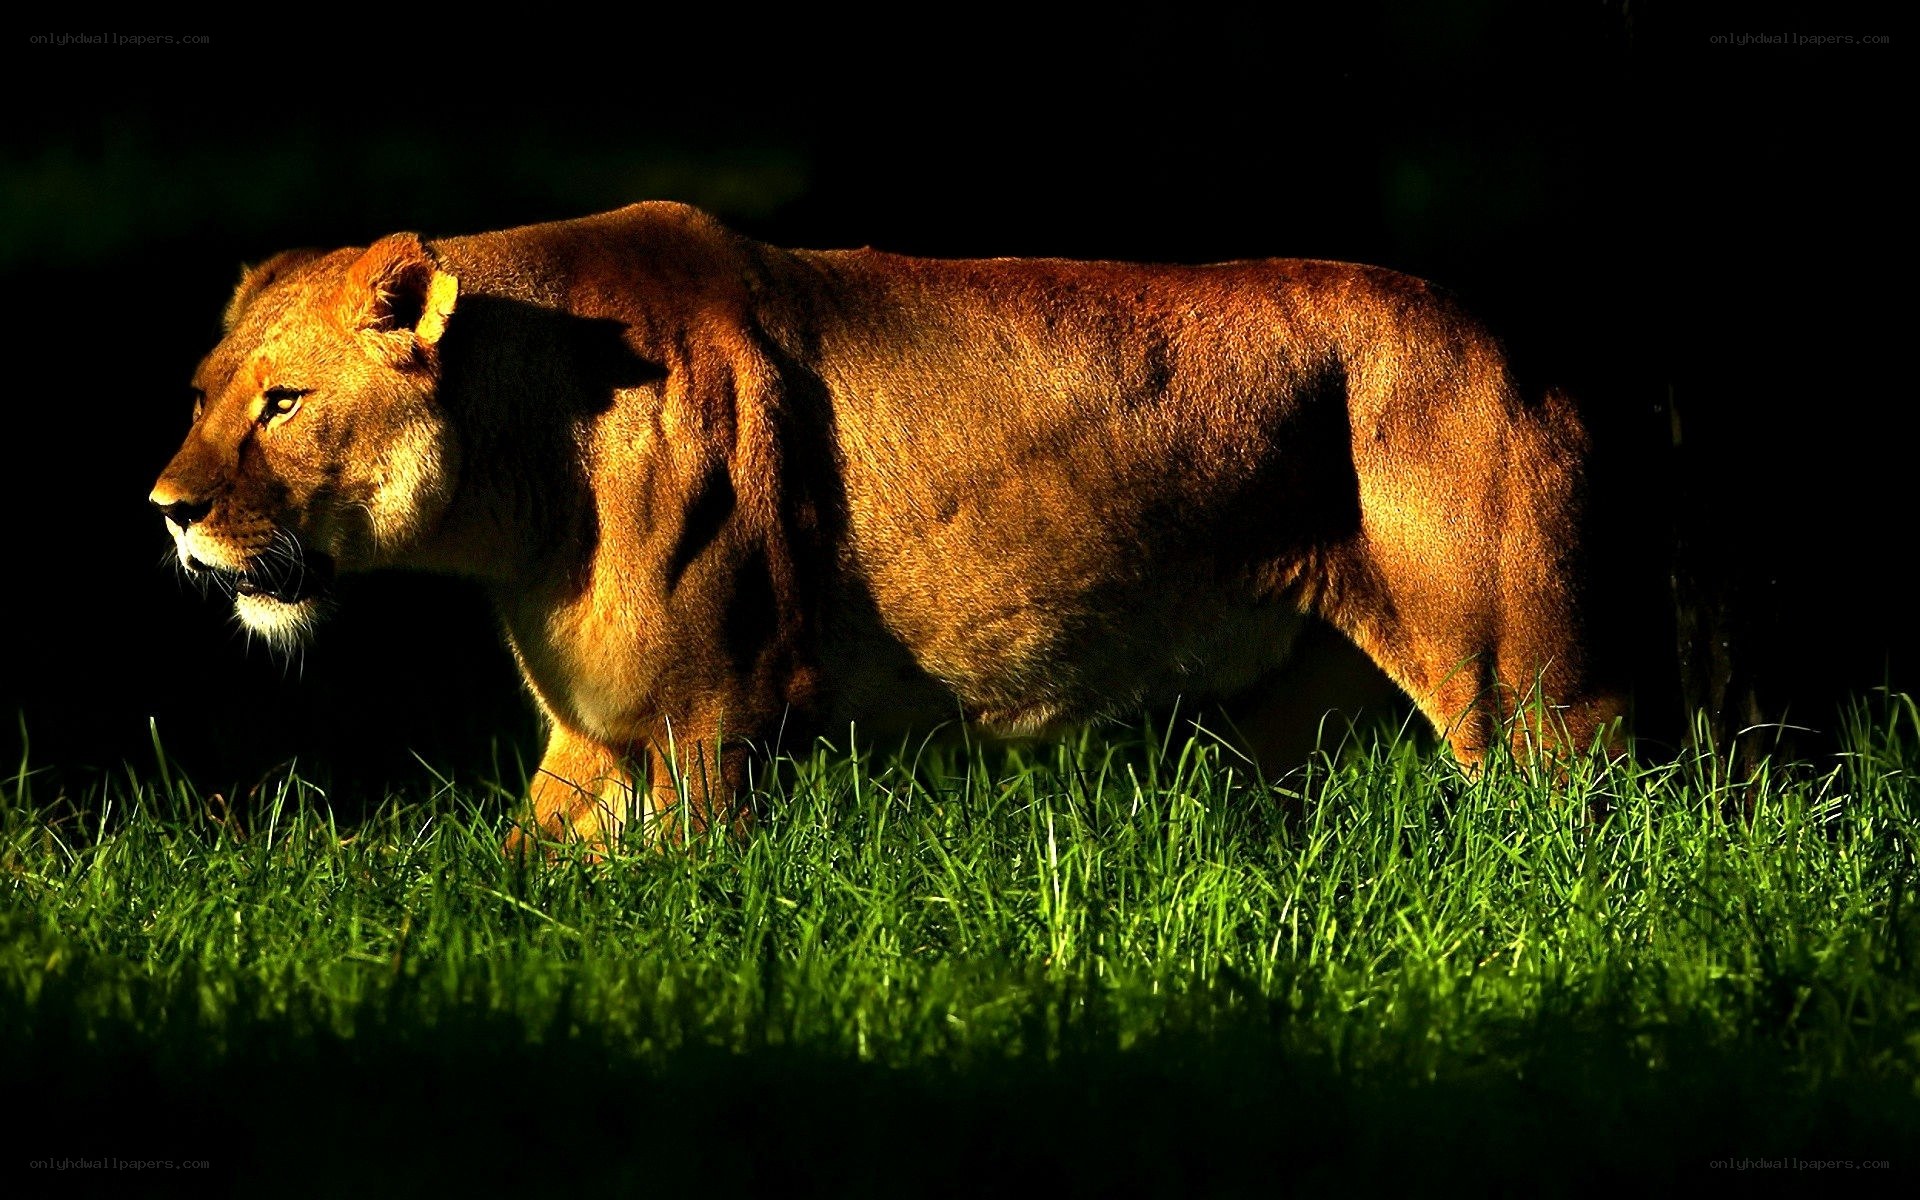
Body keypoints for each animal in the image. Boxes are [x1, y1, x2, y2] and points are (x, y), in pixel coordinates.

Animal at [151, 201, 1625, 848]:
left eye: (284, 403)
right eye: (203, 395)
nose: (167, 513)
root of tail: (1517, 345)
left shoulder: (712, 714)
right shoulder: (597, 726)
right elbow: (514, 878)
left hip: (1524, 686)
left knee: (1597, 824)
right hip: (1295, 721)